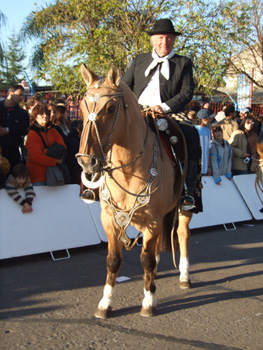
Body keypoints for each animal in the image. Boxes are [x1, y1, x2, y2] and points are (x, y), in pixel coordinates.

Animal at [76, 64, 194, 318]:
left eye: (111, 108)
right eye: (81, 106)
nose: (87, 162)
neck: (129, 170)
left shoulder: (153, 219)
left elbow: (146, 258)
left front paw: (148, 302)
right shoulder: (109, 218)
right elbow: (113, 260)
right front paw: (105, 304)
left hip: (184, 209)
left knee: (182, 234)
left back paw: (184, 276)